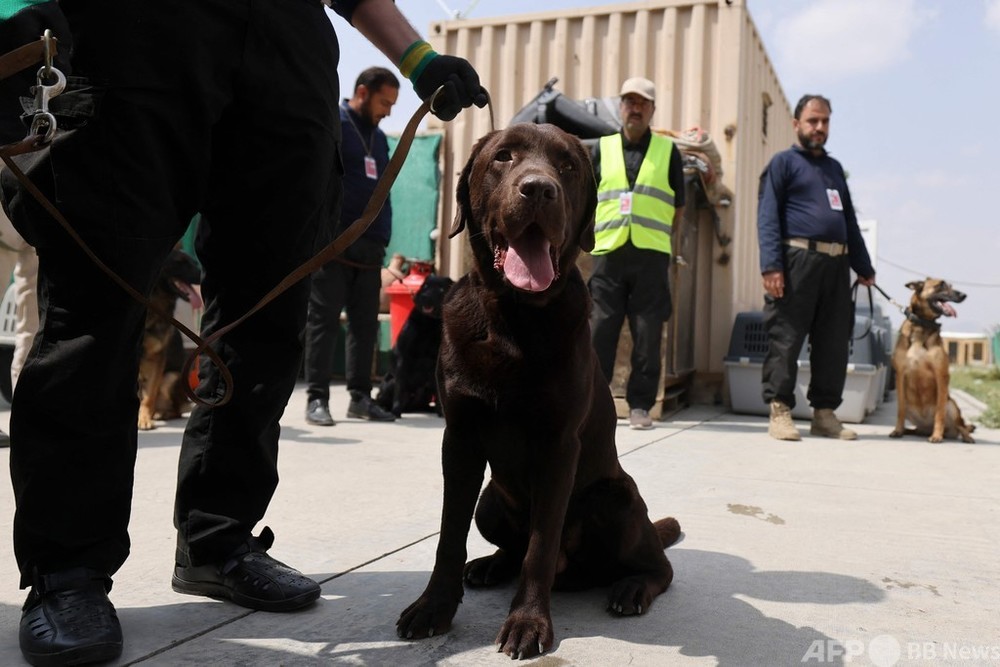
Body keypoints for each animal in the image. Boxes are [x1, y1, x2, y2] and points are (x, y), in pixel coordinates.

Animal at [138, 248, 202, 430]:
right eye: (180, 262)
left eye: (193, 262)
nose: (202, 274)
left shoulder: (158, 358)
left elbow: (149, 396)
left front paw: (144, 419)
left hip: (170, 378)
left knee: (175, 409)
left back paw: (160, 413)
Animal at [376, 274, 454, 414]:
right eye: (425, 286)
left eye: (441, 289)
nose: (425, 297)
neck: (429, 324)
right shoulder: (403, 357)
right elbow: (400, 388)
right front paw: (396, 410)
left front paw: (440, 412)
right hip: (390, 383)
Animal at [394, 122, 684, 660]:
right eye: (503, 157)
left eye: (567, 165)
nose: (538, 189)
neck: (513, 316)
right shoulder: (459, 439)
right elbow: (449, 534)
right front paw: (433, 608)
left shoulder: (558, 447)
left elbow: (541, 545)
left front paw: (528, 622)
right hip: (491, 501)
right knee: (507, 544)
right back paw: (489, 565)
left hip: (615, 497)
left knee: (659, 566)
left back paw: (632, 587)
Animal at [892, 276, 976, 444]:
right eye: (941, 285)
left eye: (951, 285)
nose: (963, 295)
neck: (922, 325)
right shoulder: (900, 374)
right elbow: (900, 409)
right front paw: (897, 430)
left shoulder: (941, 375)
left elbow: (939, 412)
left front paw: (937, 435)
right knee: (914, 426)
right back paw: (908, 430)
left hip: (952, 405)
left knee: (961, 425)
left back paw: (965, 436)